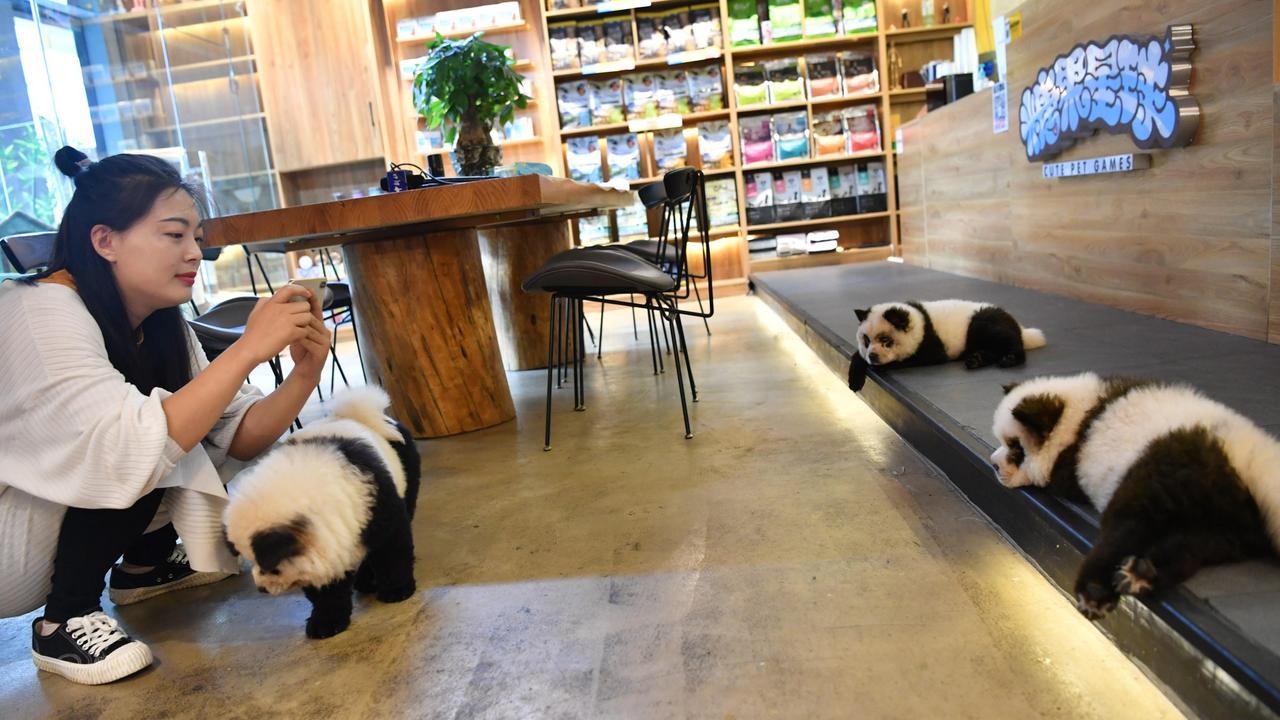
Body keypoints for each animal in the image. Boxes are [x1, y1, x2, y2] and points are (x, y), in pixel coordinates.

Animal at [221, 384, 419, 635]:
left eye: (273, 569)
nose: (262, 589)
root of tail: (361, 415)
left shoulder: (378, 504)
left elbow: (391, 549)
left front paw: (397, 590)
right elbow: (323, 581)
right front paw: (326, 622)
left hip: (406, 468)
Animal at [844, 298, 1044, 389]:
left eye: (886, 340)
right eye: (866, 340)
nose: (873, 356)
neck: (918, 321)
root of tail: (1019, 326)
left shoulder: (929, 343)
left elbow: (920, 357)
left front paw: (879, 367)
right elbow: (858, 357)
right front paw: (855, 379)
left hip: (983, 323)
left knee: (1005, 340)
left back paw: (1009, 358)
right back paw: (976, 359)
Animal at [988, 368, 1280, 617]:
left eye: (1015, 448)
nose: (993, 464)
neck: (1074, 417)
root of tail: (1248, 458)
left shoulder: (1071, 463)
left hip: (1162, 470)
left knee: (1128, 524)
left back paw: (1095, 589)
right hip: (1236, 519)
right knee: (1202, 543)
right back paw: (1141, 573)